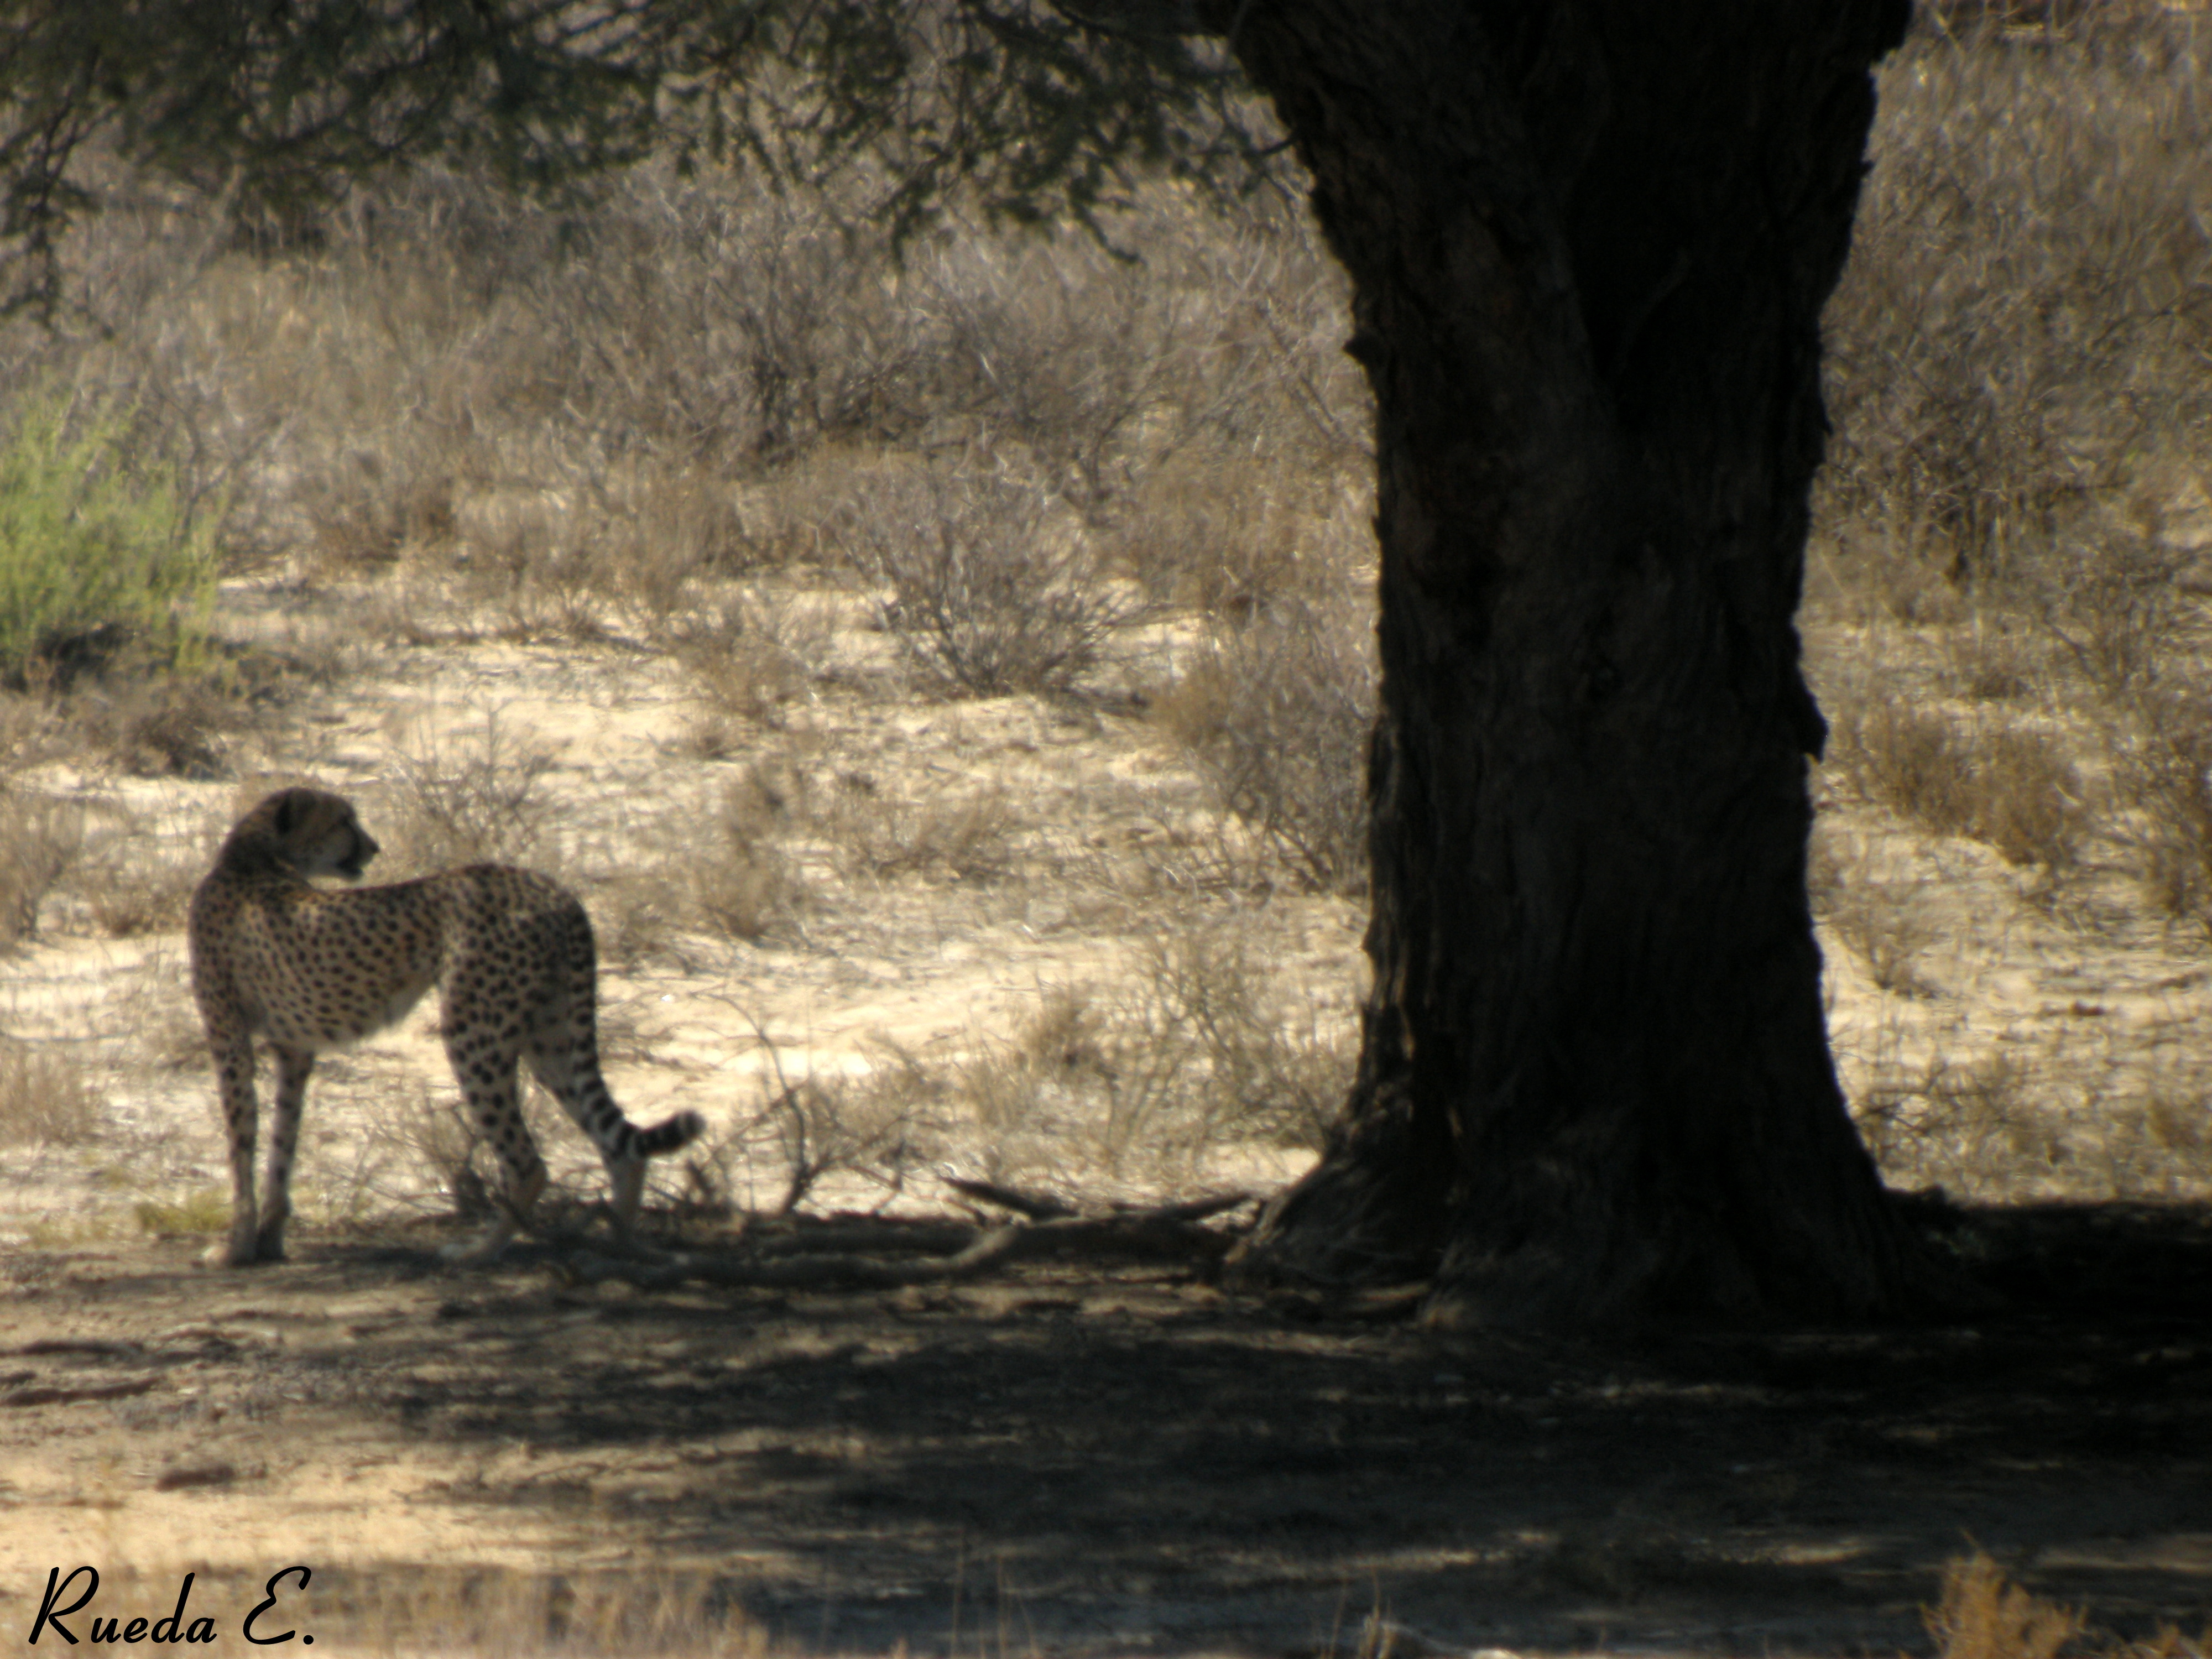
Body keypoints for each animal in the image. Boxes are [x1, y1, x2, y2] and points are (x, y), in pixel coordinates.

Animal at [196, 792, 703, 1274]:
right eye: (343, 820)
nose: (374, 846)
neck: (261, 853)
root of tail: (552, 888)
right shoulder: (293, 1049)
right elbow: (283, 1139)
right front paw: (267, 1239)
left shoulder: (229, 1039)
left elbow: (241, 1142)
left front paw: (236, 1247)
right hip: (552, 1035)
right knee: (620, 1147)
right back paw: (622, 1248)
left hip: (474, 1032)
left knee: (528, 1163)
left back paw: (479, 1252)